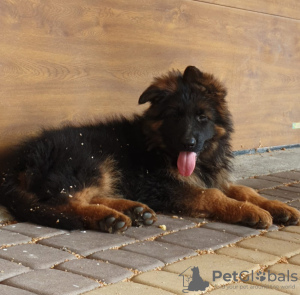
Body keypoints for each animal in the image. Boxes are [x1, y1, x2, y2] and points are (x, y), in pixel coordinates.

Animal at [0, 66, 298, 234]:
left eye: (202, 117)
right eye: (175, 116)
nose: (188, 144)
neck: (159, 146)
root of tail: (17, 161)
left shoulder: (211, 177)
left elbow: (245, 190)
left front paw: (278, 206)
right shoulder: (159, 185)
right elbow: (211, 195)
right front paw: (250, 211)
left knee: (86, 197)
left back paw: (132, 210)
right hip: (90, 161)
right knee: (64, 202)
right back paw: (108, 217)